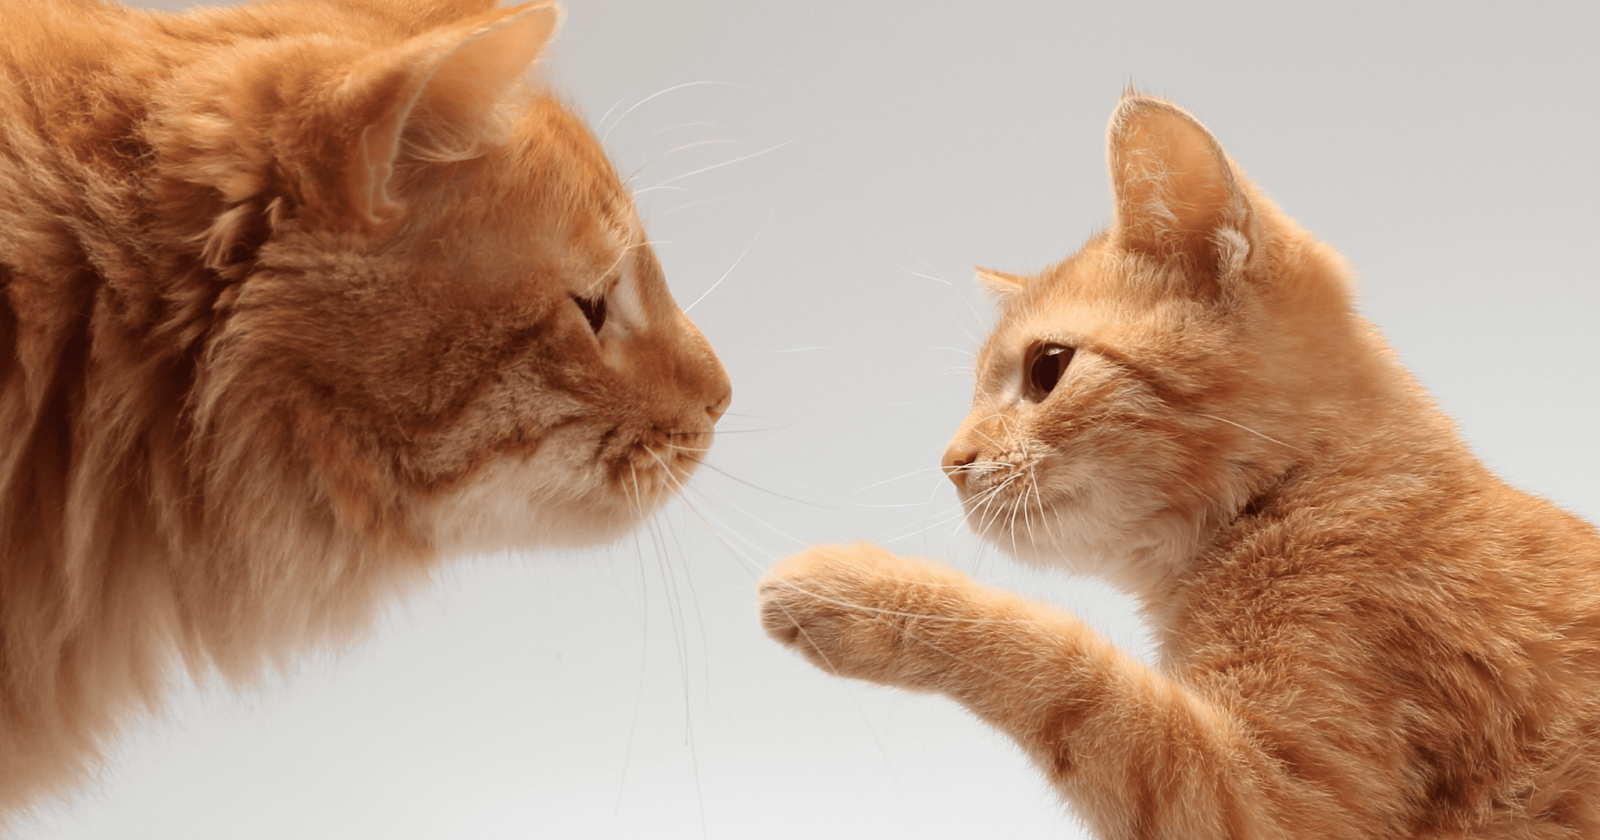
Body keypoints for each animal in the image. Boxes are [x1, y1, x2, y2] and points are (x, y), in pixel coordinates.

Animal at [758, 93, 1600, 838]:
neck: (1304, 492)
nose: (950, 461)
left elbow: (1075, 674)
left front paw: (860, 591)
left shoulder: (1264, 802)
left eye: (1046, 368)